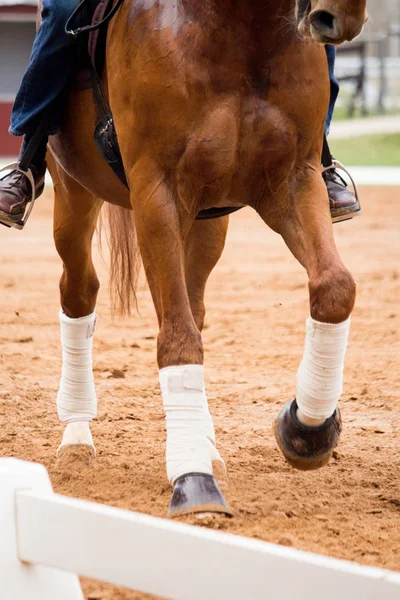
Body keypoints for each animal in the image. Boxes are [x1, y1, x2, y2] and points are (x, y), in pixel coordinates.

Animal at [47, 0, 368, 516]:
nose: (337, 18)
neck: (241, 36)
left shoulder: (293, 181)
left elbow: (335, 289)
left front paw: (307, 429)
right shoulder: (157, 195)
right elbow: (177, 338)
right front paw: (192, 479)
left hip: (207, 222)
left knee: (192, 306)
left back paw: (209, 445)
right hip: (74, 195)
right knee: (79, 294)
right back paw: (77, 438)